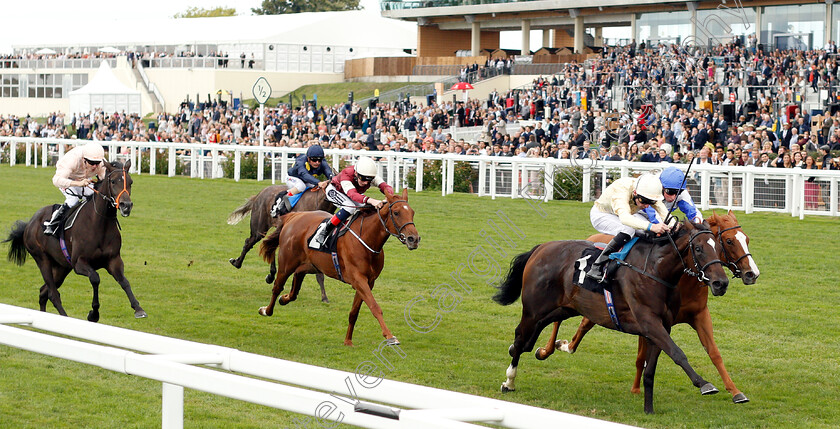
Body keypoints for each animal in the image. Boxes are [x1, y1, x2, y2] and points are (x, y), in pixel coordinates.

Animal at [3, 160, 146, 320]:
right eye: (114, 181)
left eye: (131, 182)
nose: (126, 205)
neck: (99, 224)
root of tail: (29, 224)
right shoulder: (79, 263)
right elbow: (95, 278)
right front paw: (93, 314)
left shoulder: (114, 260)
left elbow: (124, 281)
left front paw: (138, 308)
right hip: (42, 260)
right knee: (53, 294)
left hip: (61, 267)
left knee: (43, 292)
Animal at [258, 187, 418, 344]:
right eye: (396, 213)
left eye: (412, 212)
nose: (414, 239)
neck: (366, 239)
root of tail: (293, 217)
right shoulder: (358, 279)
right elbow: (374, 306)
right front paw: (390, 336)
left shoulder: (369, 281)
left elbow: (354, 312)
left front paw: (348, 341)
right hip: (287, 264)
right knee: (277, 287)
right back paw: (266, 310)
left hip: (307, 266)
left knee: (294, 290)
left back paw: (284, 299)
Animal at [496, 219, 732, 412]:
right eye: (698, 248)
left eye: (718, 246)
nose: (721, 283)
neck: (655, 270)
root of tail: (541, 247)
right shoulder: (649, 322)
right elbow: (677, 353)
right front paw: (704, 384)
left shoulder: (662, 325)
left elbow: (651, 369)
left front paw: (648, 409)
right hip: (533, 309)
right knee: (521, 337)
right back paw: (509, 381)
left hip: (566, 307)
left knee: (530, 336)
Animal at [540, 211, 760, 404]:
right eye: (729, 241)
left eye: (747, 239)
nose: (752, 274)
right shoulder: (647, 319)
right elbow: (644, 356)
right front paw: (637, 388)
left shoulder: (698, 315)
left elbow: (714, 352)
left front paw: (736, 392)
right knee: (560, 319)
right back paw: (547, 349)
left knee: (583, 323)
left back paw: (564, 345)